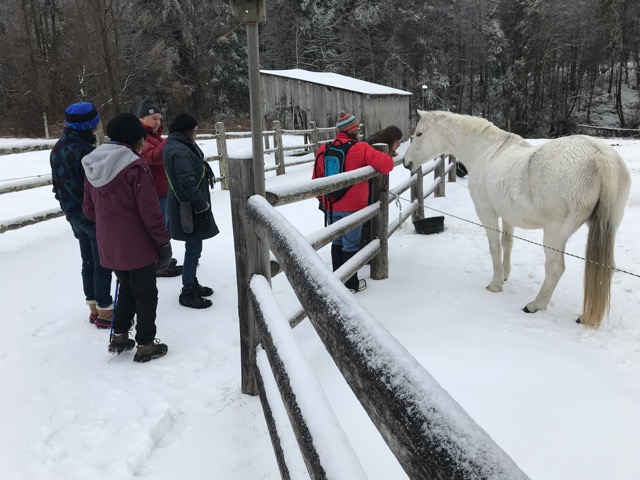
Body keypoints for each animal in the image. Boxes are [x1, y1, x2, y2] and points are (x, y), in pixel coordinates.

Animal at [404, 109, 632, 326]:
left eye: (419, 134)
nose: (406, 163)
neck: (485, 152)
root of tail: (601, 156)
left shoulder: (487, 213)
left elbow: (495, 247)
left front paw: (495, 284)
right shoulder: (507, 215)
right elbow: (507, 243)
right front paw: (505, 275)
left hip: (555, 234)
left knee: (555, 268)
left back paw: (535, 305)